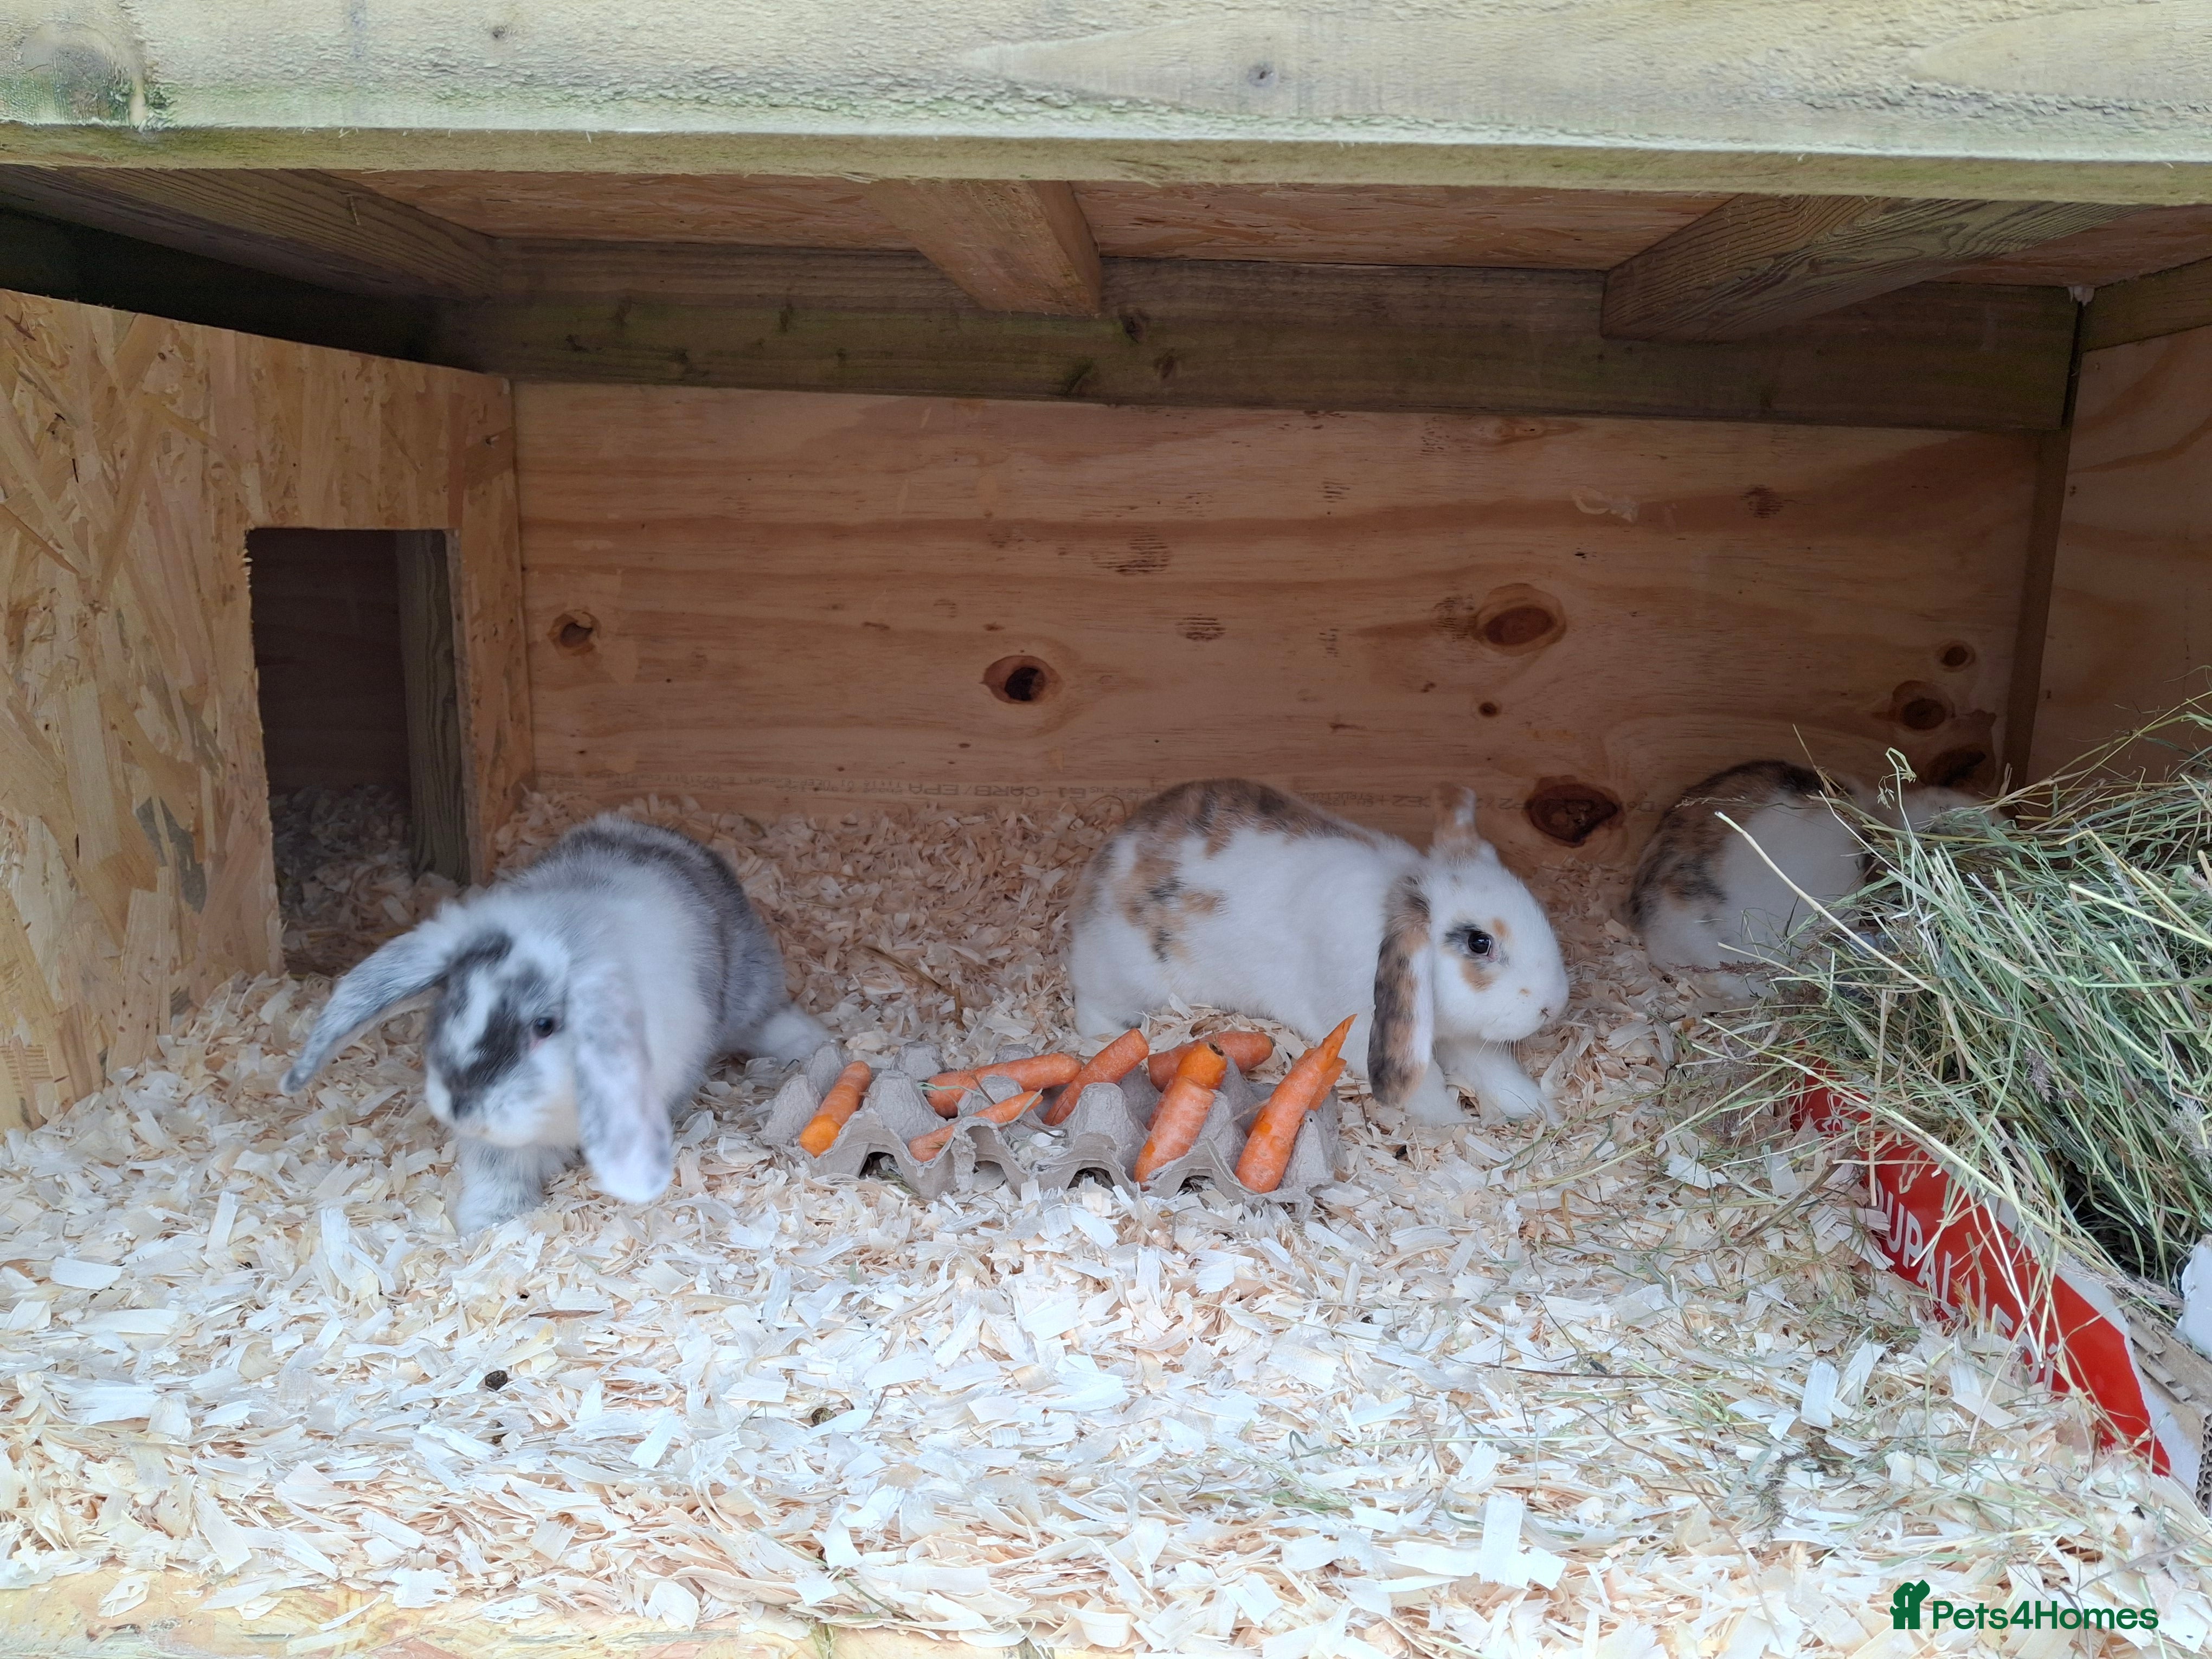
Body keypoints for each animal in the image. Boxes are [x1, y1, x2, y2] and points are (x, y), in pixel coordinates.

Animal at [282, 815, 826, 1231]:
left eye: (545, 1025)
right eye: (450, 1005)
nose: (463, 1107)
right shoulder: (502, 1145)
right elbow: (500, 1171)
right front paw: (493, 1223)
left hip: (750, 983)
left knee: (763, 1019)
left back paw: (811, 1046)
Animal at [1069, 778, 1569, 1125]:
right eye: (1478, 942)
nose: (1553, 1006)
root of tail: (1104, 865)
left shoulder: (1458, 1036)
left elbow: (1496, 1070)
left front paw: (1541, 1110)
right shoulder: (1366, 1032)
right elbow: (1426, 1089)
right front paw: (1455, 1126)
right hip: (1124, 979)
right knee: (1091, 1008)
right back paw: (1103, 1038)